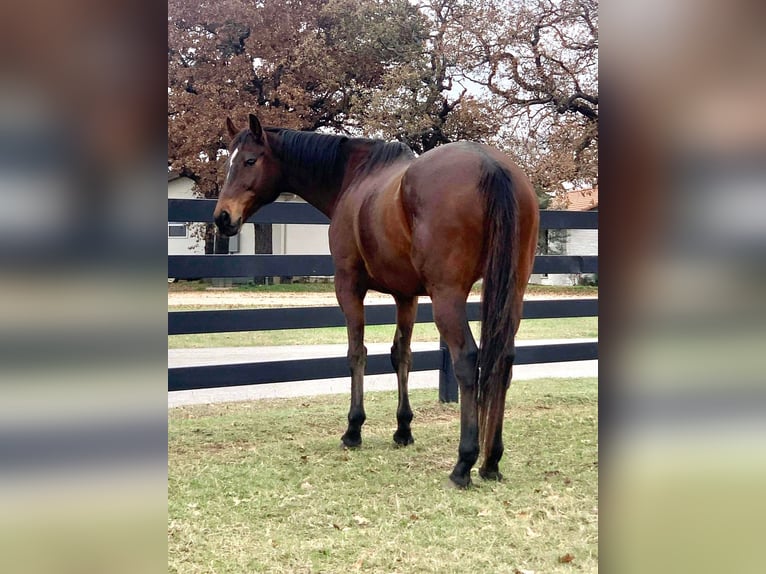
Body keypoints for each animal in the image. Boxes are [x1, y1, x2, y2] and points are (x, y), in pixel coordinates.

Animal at [216, 115, 540, 488]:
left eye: (249, 161)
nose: (222, 217)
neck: (353, 176)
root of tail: (491, 165)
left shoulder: (348, 287)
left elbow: (357, 353)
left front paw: (353, 429)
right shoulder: (406, 296)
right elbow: (401, 355)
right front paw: (403, 429)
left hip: (448, 296)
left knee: (467, 360)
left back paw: (464, 463)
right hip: (512, 293)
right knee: (503, 360)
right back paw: (491, 462)